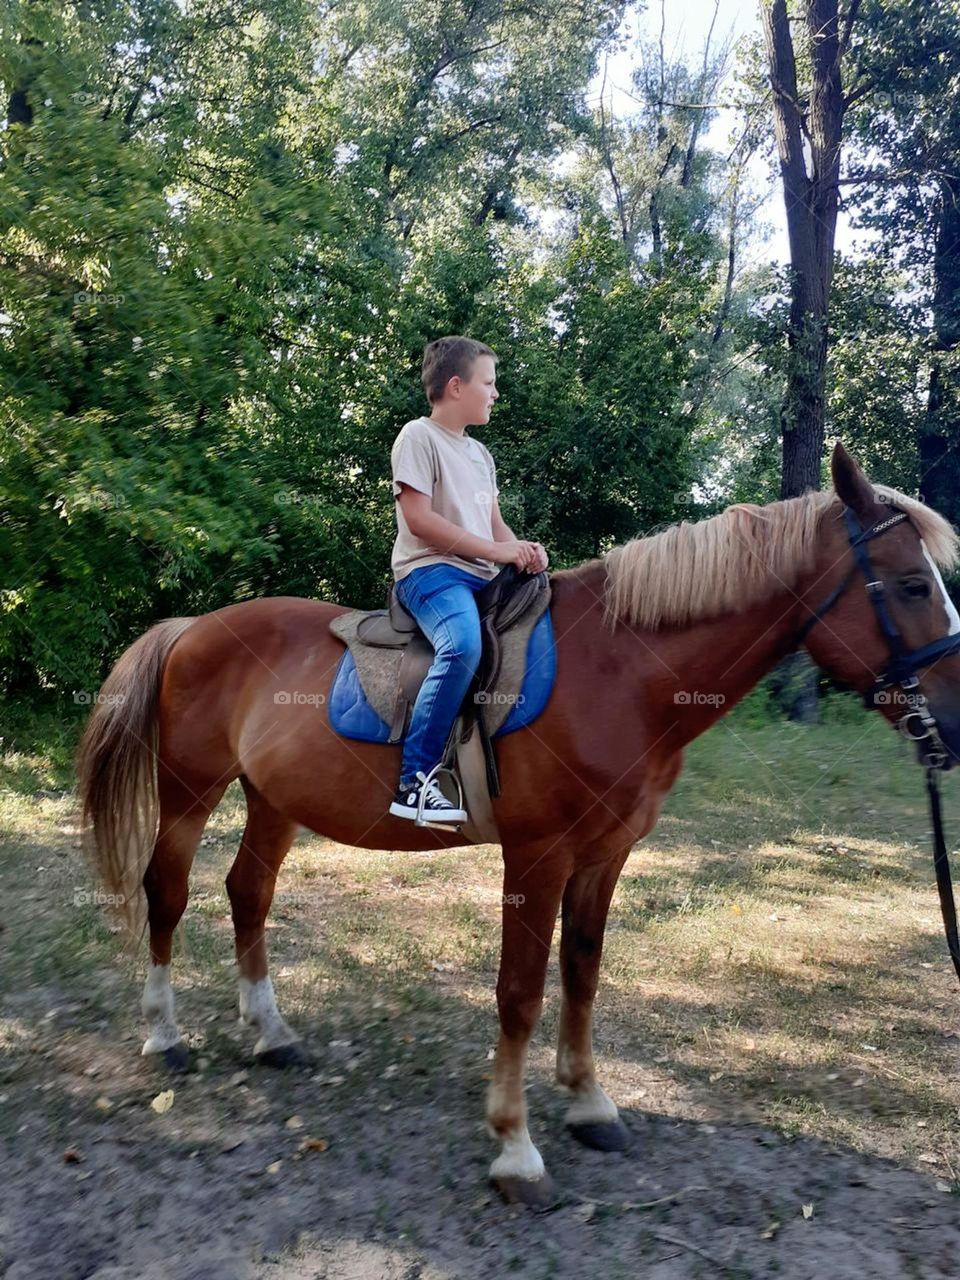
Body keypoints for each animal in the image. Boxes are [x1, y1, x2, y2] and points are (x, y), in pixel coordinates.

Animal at [77, 442, 960, 1206]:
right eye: (913, 586)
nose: (953, 722)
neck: (622, 670)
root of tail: (192, 627)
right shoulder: (537, 856)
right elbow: (520, 993)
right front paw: (515, 1148)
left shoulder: (605, 854)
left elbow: (582, 974)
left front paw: (590, 1104)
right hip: (189, 792)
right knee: (168, 893)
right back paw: (164, 1036)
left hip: (272, 800)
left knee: (248, 894)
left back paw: (270, 1033)